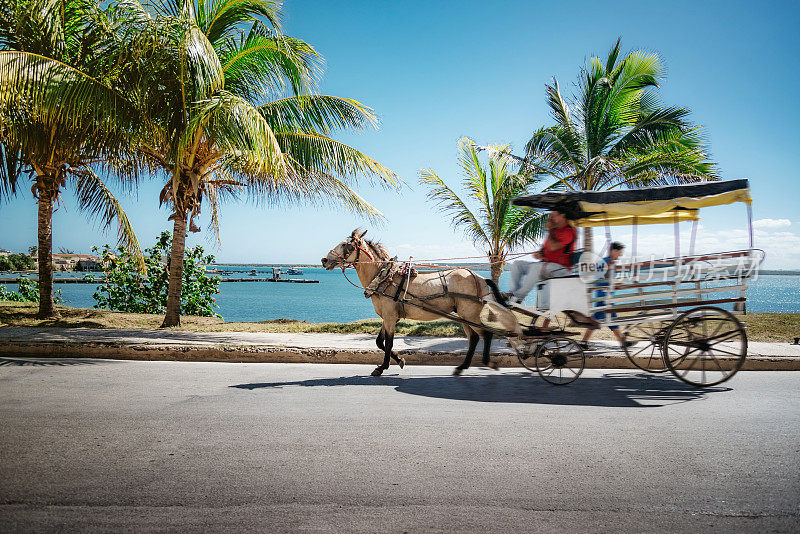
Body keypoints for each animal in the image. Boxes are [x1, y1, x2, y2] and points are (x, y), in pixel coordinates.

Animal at [322, 229, 520, 376]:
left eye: (345, 245)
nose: (324, 260)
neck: (384, 277)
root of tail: (480, 278)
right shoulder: (387, 317)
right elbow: (380, 342)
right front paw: (399, 360)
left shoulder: (390, 317)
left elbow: (389, 343)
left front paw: (383, 367)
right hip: (464, 315)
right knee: (474, 338)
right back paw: (462, 367)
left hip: (469, 314)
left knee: (485, 334)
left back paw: (486, 362)